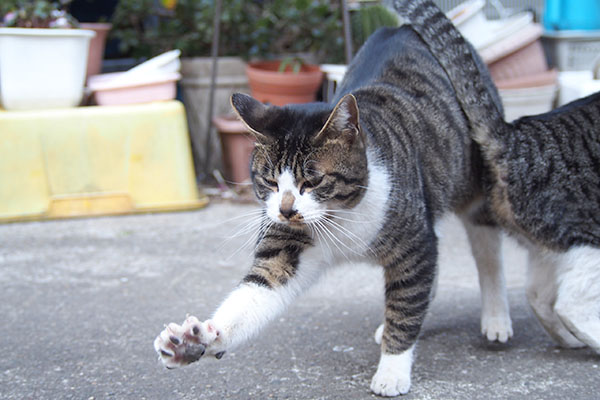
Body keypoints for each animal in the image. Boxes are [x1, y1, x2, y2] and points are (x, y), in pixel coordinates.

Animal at [152, 0, 512, 394]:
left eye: (312, 181)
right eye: (270, 181)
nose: (287, 210)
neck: (340, 217)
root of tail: (400, 28)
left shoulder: (413, 244)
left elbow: (406, 305)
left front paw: (392, 370)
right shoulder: (284, 246)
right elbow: (256, 292)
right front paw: (196, 340)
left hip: (474, 182)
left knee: (486, 251)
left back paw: (496, 317)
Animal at [398, 0, 600, 350]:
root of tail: (513, 135)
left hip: (548, 245)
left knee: (538, 295)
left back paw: (569, 341)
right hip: (585, 236)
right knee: (569, 303)